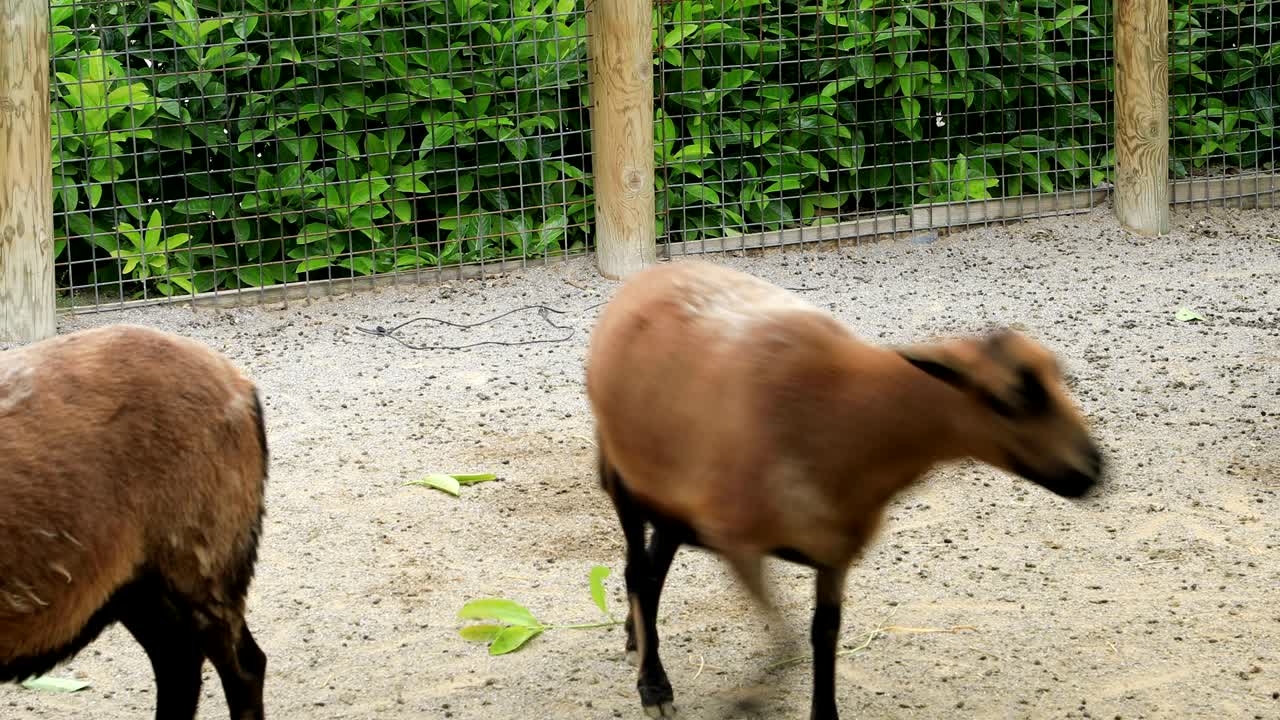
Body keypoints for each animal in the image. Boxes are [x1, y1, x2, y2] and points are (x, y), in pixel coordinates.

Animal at [584, 260, 1104, 720]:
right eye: (1007, 399)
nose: (1095, 470)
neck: (847, 419)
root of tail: (645, 277)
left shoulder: (834, 548)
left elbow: (824, 634)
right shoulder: (738, 541)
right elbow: (788, 637)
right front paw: (748, 701)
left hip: (670, 489)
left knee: (654, 567)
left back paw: (637, 638)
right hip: (623, 477)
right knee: (638, 572)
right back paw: (653, 686)